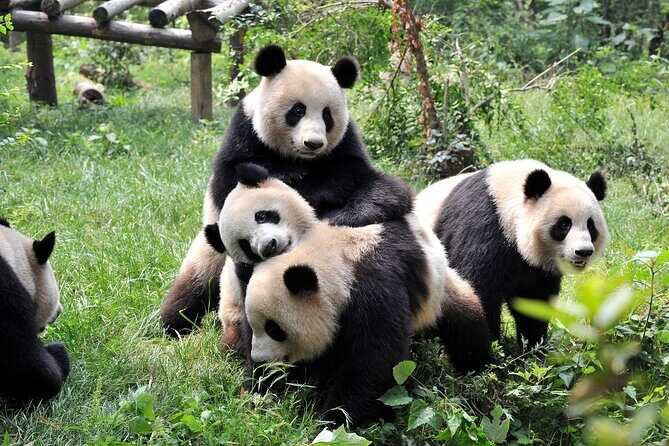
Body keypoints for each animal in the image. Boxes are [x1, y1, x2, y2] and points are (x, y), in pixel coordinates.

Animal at [161, 44, 413, 336]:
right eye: (297, 110)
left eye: (327, 115)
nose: (313, 143)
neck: (299, 159)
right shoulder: (244, 132)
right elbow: (231, 185)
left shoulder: (346, 145)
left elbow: (381, 188)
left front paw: (340, 211)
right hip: (209, 255)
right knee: (194, 284)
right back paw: (173, 322)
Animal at [204, 164, 492, 427]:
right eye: (257, 326)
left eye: (275, 329)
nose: (262, 360)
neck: (333, 256)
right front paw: (262, 391)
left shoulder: (374, 289)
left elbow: (373, 361)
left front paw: (332, 420)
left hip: (440, 290)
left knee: (466, 325)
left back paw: (474, 366)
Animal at [415, 159, 609, 348]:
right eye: (564, 224)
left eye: (590, 225)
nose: (583, 251)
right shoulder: (482, 228)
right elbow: (478, 290)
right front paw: (493, 348)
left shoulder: (534, 267)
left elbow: (533, 301)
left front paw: (534, 349)